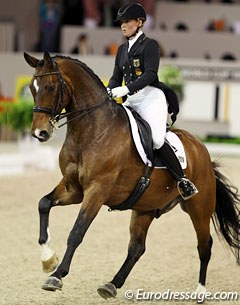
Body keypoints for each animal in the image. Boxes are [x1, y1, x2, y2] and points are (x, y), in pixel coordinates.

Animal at [23, 51, 240, 300]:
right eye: (32, 88)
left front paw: (57, 275)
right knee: (137, 248)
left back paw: (200, 292)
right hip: (145, 208)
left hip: (199, 208)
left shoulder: (97, 191)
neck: (91, 132)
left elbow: (77, 232)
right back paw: (111, 285)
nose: (39, 133)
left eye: (50, 87)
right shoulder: (73, 189)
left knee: (204, 246)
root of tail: (202, 150)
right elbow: (43, 203)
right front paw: (48, 260)